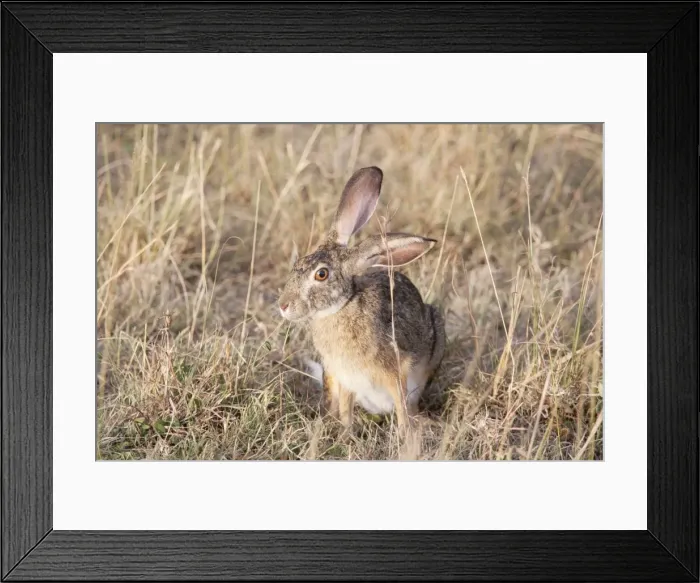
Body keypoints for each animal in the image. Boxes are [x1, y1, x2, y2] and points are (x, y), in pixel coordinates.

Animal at [278, 166, 446, 433]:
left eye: (321, 274)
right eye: (298, 263)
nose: (283, 306)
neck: (342, 307)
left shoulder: (396, 370)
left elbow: (401, 407)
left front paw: (405, 434)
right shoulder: (345, 377)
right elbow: (346, 409)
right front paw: (346, 434)